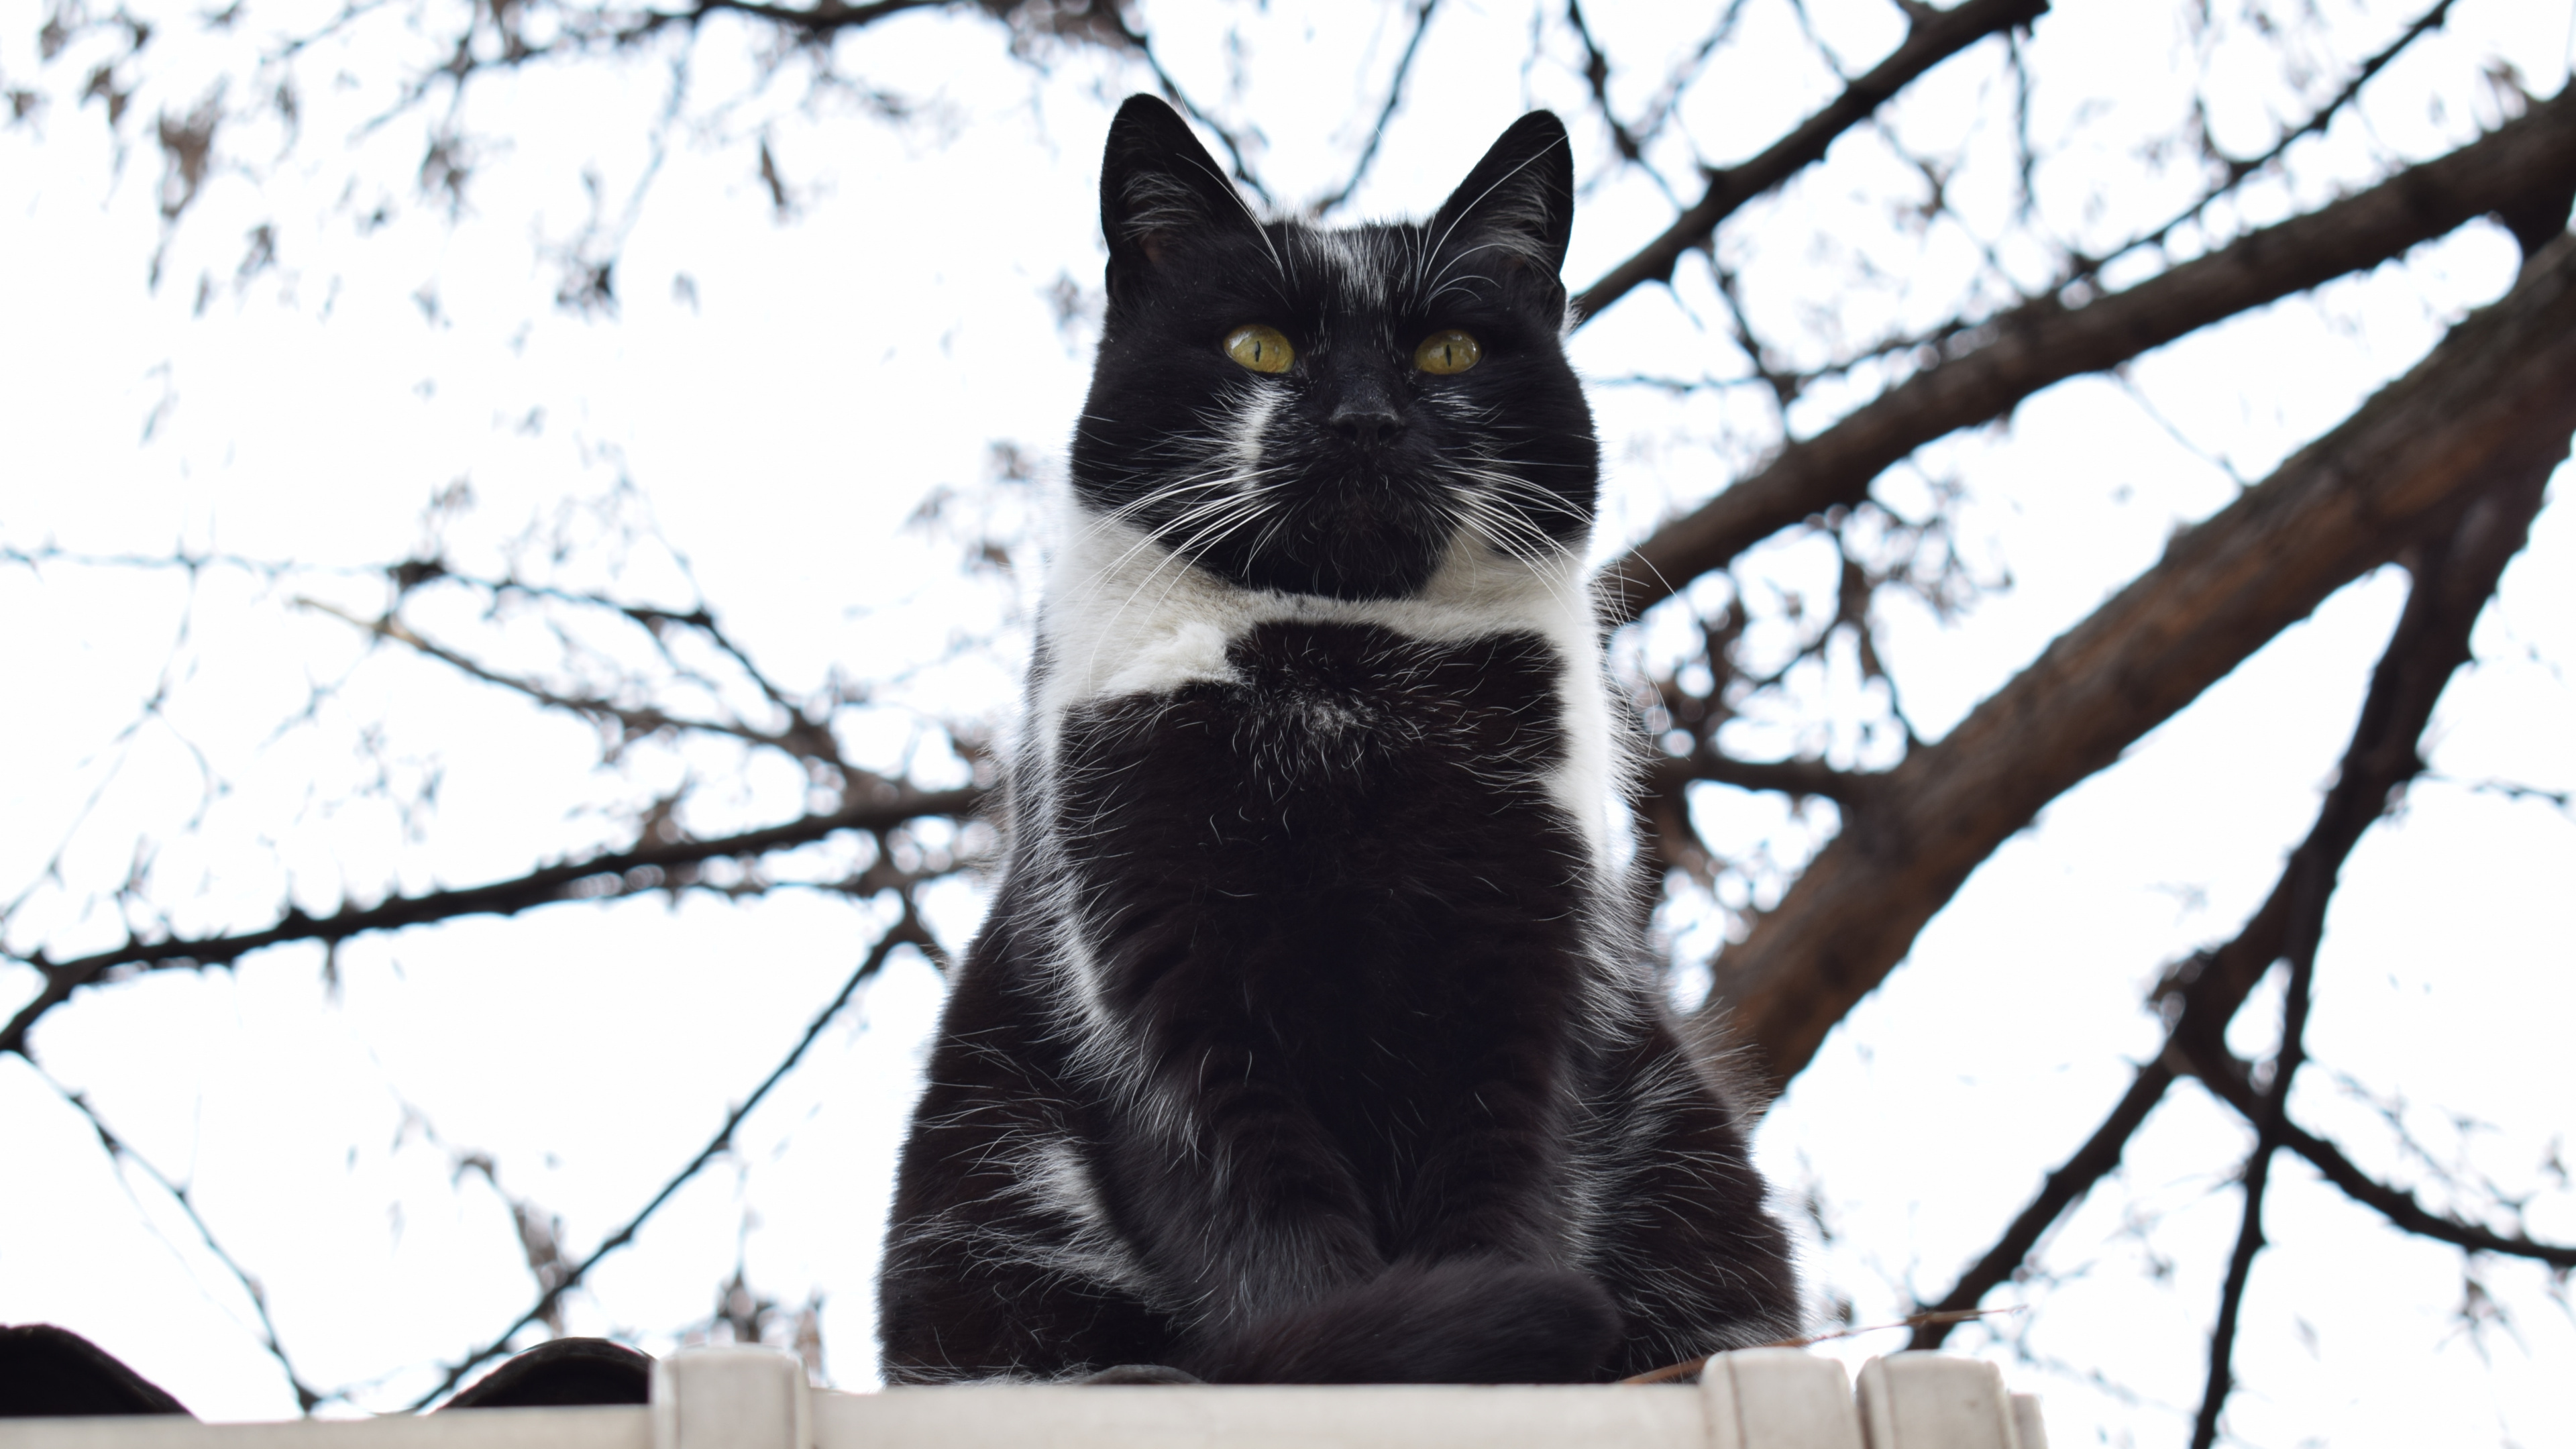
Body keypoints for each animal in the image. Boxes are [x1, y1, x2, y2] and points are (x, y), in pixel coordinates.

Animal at [875, 96, 1803, 1382]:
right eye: (1258, 349)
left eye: (1450, 353)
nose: (1366, 417)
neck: (1340, 673)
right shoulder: (1157, 973)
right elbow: (1261, 1225)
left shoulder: (1525, 964)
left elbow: (1500, 1181)